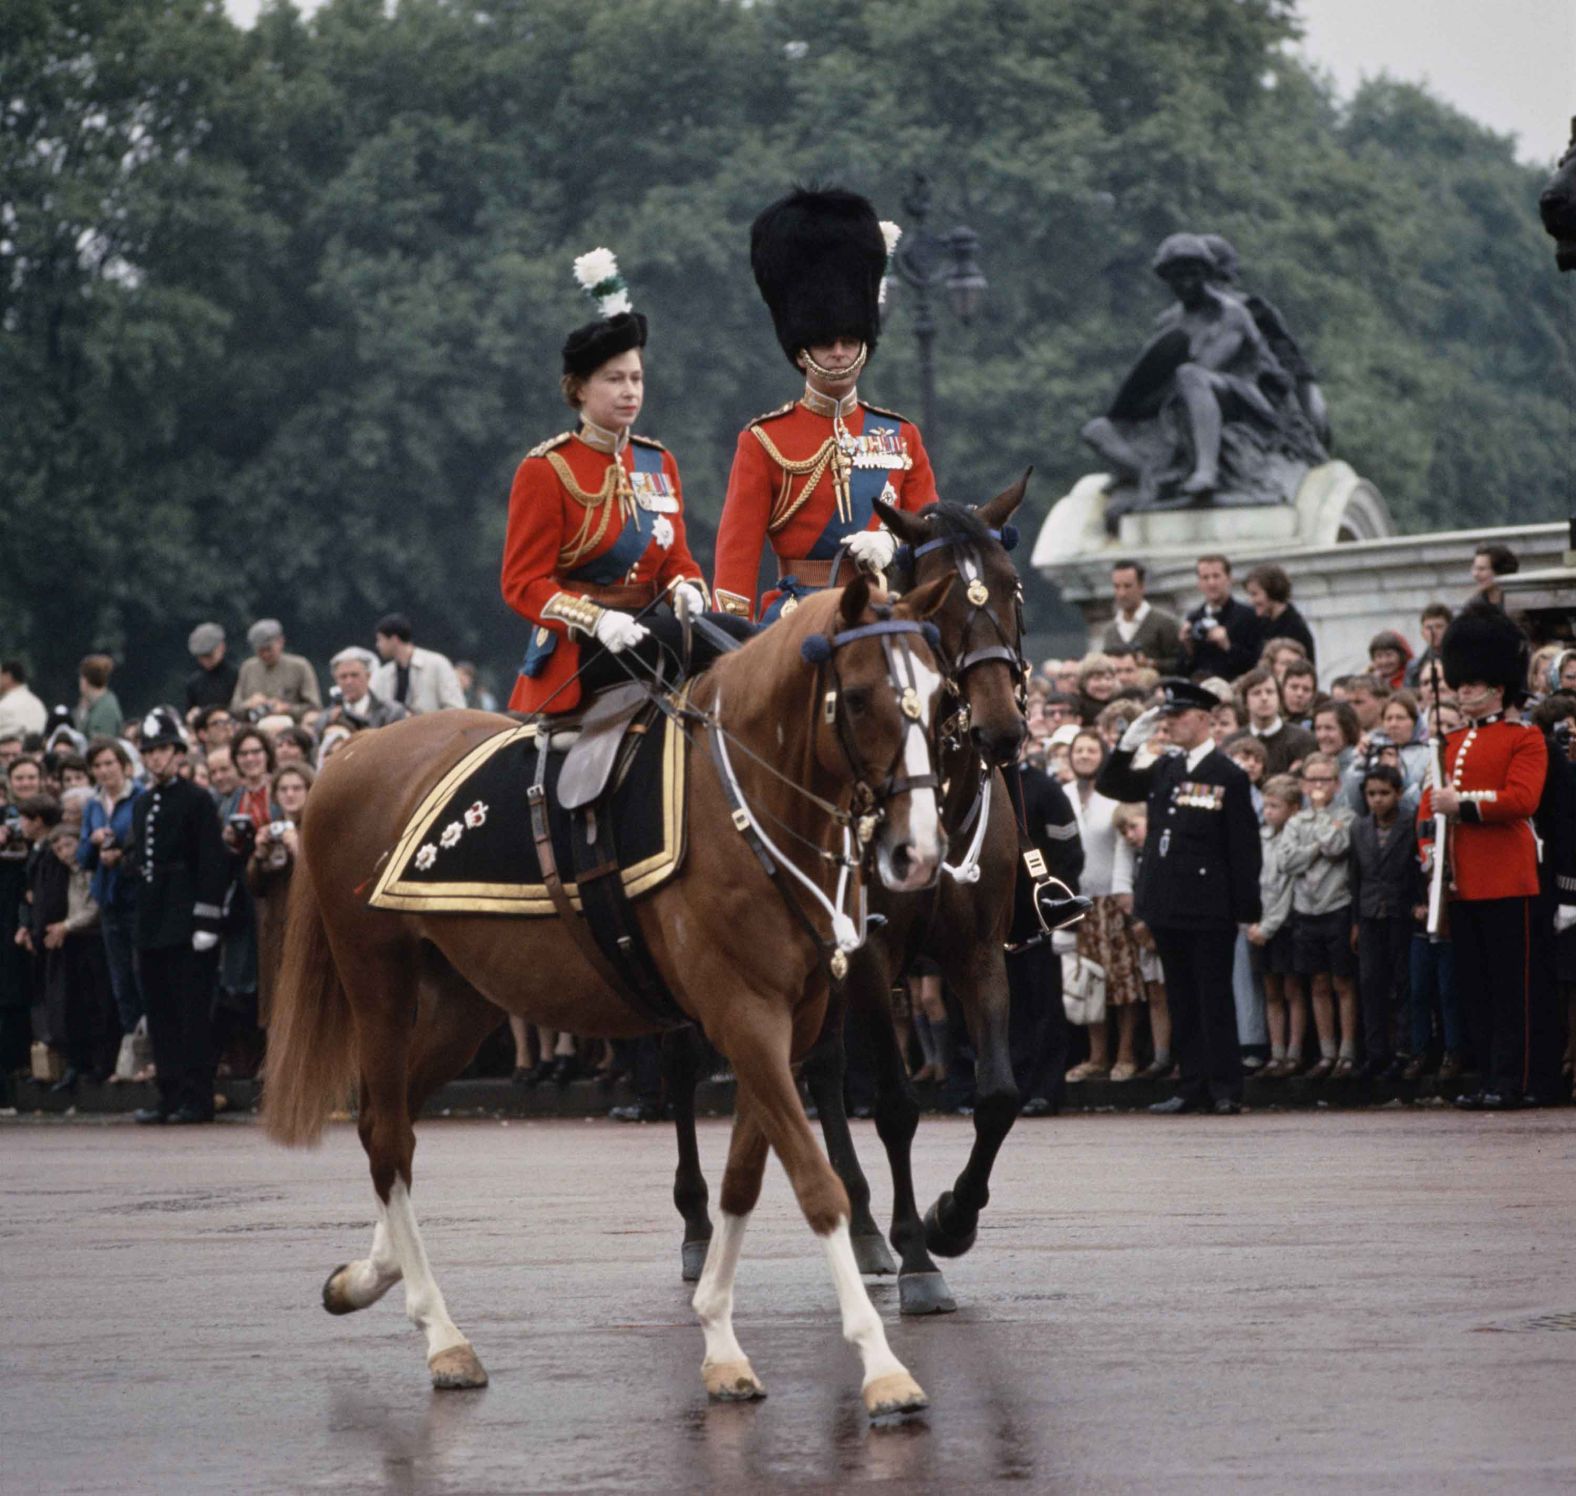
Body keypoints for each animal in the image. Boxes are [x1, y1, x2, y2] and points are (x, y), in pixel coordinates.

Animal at [260, 576, 951, 1418]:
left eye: (940, 695)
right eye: (855, 696)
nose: (917, 852)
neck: (744, 808)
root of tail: (347, 755)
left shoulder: (786, 1025)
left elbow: (744, 1181)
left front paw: (720, 1341)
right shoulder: (745, 1018)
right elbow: (817, 1187)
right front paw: (881, 1365)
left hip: (462, 1005)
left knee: (384, 1127)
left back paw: (368, 1277)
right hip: (379, 985)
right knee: (388, 1137)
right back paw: (442, 1336)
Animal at [665, 476, 1033, 1305]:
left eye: (1011, 587)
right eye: (941, 607)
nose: (1000, 729)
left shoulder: (978, 953)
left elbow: (998, 1095)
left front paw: (951, 1219)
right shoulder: (868, 956)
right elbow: (894, 1105)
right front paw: (921, 1255)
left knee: (822, 1069)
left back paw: (861, 1229)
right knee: (682, 1071)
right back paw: (700, 1228)